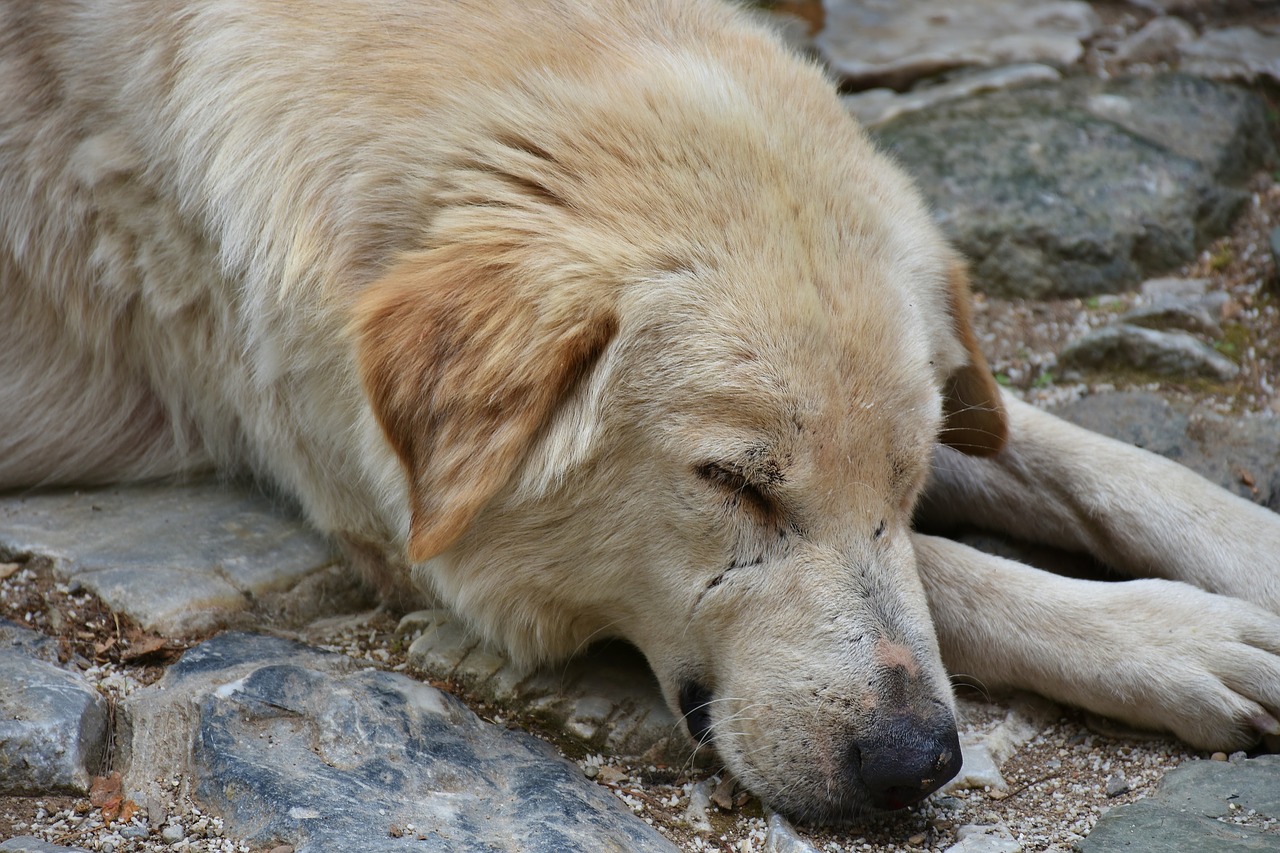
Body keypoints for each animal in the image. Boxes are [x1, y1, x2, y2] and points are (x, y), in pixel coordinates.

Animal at [2, 0, 1280, 819]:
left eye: (910, 477)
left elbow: (1088, 461)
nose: (920, 763)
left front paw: (1244, 558)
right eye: (731, 482)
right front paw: (1168, 638)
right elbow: (963, 577)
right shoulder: (378, 512)